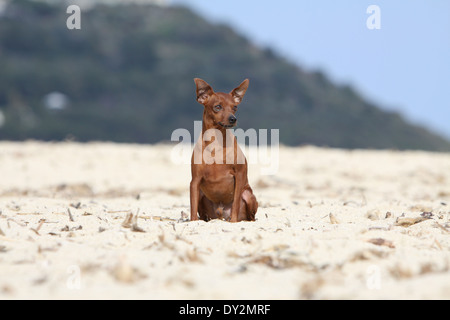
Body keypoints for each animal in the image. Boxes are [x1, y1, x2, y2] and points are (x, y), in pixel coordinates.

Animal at [190, 78, 258, 221]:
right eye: (218, 107)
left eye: (235, 107)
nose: (233, 119)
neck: (215, 143)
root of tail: (221, 213)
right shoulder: (195, 181)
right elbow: (192, 208)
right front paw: (192, 221)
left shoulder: (239, 175)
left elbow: (236, 202)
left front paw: (233, 222)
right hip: (202, 195)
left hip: (248, 195)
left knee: (250, 215)